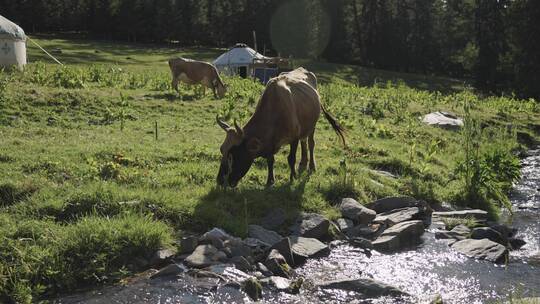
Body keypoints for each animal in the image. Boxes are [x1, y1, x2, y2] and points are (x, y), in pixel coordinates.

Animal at [216, 67, 346, 188]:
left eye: (232, 155)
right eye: (222, 149)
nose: (220, 181)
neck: (274, 111)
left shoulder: (294, 139)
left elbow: (291, 158)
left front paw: (293, 178)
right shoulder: (270, 143)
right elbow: (270, 160)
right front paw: (270, 181)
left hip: (312, 126)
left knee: (310, 143)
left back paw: (312, 166)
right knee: (304, 142)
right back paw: (303, 163)